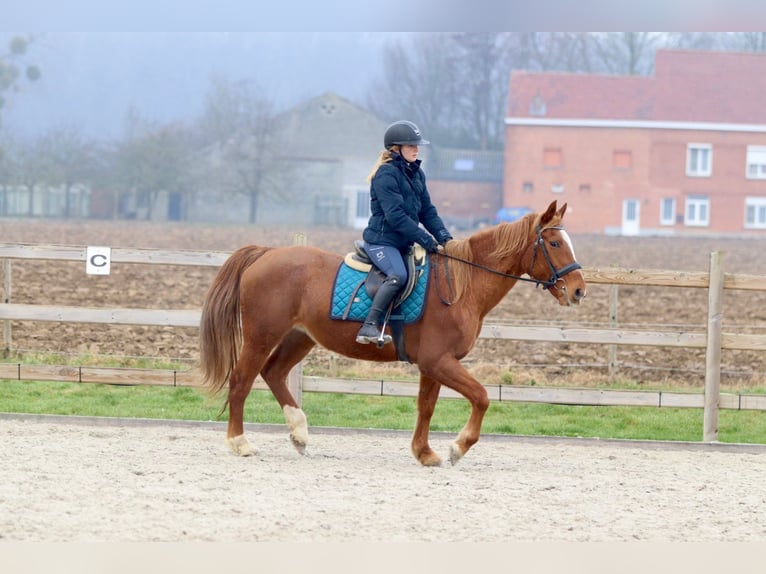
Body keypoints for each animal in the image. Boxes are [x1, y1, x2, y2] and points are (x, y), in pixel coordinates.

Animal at [199, 200, 587, 466]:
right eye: (554, 244)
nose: (579, 290)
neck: (460, 286)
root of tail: (266, 253)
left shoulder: (433, 364)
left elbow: (426, 407)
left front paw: (424, 453)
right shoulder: (439, 361)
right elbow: (481, 397)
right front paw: (457, 447)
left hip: (300, 337)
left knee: (274, 373)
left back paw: (299, 433)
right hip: (261, 336)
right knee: (242, 380)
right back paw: (240, 442)